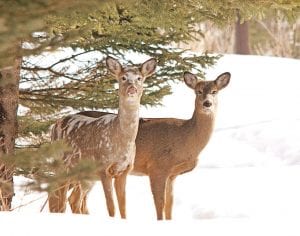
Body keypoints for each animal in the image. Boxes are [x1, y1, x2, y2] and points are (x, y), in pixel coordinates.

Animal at [47, 56, 156, 218]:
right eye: (123, 77)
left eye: (139, 78)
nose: (132, 88)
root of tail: (55, 124)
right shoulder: (103, 167)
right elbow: (111, 208)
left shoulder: (125, 170)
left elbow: (123, 208)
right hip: (62, 165)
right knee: (59, 201)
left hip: (84, 174)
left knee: (73, 200)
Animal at [67, 70, 230, 219]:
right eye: (198, 91)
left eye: (215, 91)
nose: (207, 103)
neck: (186, 140)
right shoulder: (157, 166)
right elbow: (160, 204)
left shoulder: (172, 175)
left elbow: (169, 206)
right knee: (75, 199)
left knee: (77, 199)